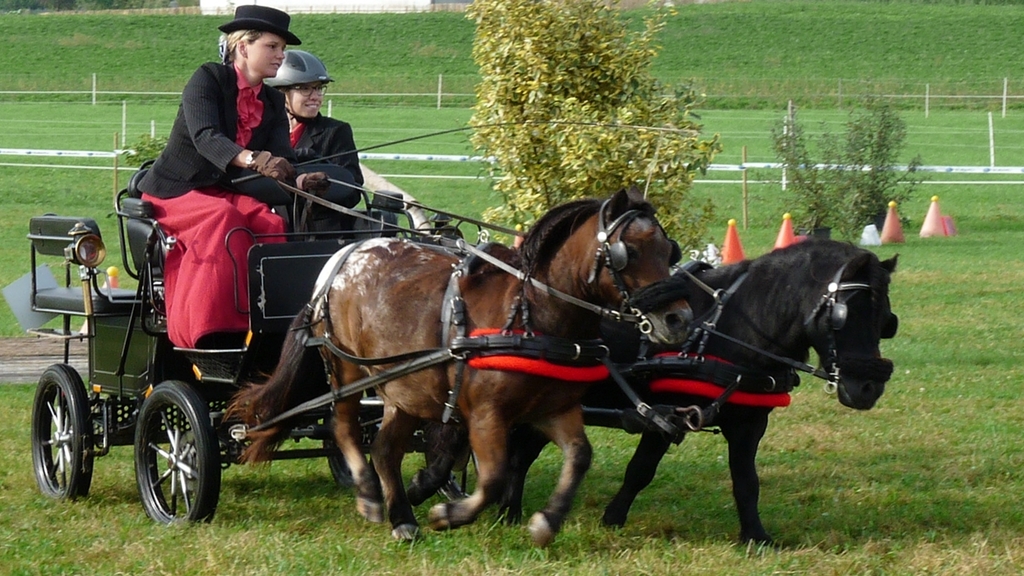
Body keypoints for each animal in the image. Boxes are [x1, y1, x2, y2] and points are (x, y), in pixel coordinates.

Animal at [228, 187, 692, 541]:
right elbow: (494, 478)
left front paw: (547, 520)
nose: (680, 320)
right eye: (628, 252)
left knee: (385, 448)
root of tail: (341, 259)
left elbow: (579, 456)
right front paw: (449, 515)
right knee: (343, 427)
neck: (533, 315)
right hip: (345, 369)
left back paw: (402, 517)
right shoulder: (486, 416)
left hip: (403, 388)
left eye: (670, 250)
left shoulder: (554, 409)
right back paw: (370, 495)